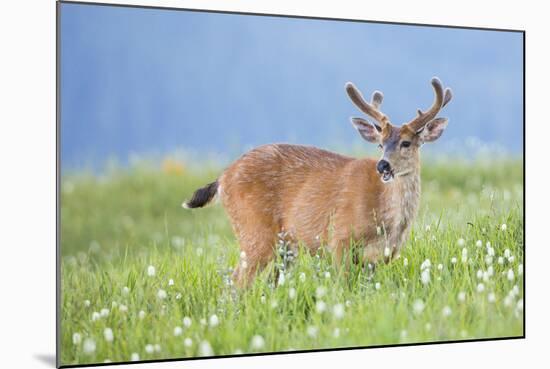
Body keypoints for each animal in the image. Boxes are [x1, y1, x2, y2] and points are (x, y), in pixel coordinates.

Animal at [183, 76, 454, 286]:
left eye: (406, 143)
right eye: (380, 144)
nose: (383, 165)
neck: (388, 222)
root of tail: (223, 177)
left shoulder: (379, 257)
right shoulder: (339, 239)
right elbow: (343, 288)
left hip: (285, 246)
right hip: (253, 229)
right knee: (236, 283)